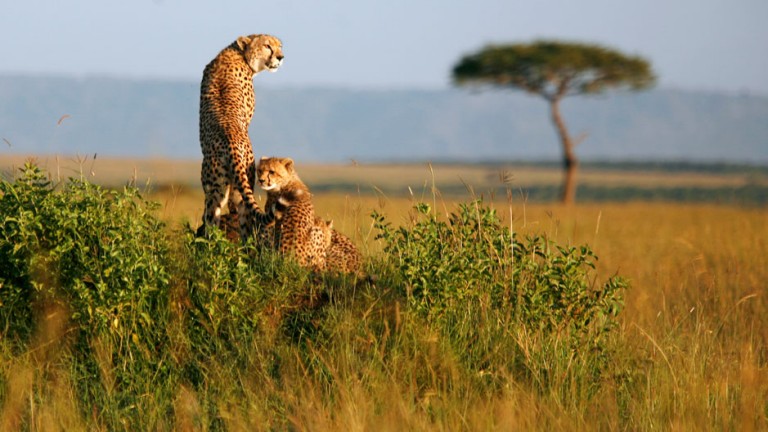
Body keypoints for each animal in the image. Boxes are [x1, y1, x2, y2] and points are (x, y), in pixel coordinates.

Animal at [200, 34, 284, 240]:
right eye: (267, 46)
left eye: (279, 46)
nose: (281, 57)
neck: (238, 52)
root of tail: (231, 143)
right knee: (241, 218)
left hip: (217, 188)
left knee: (213, 219)